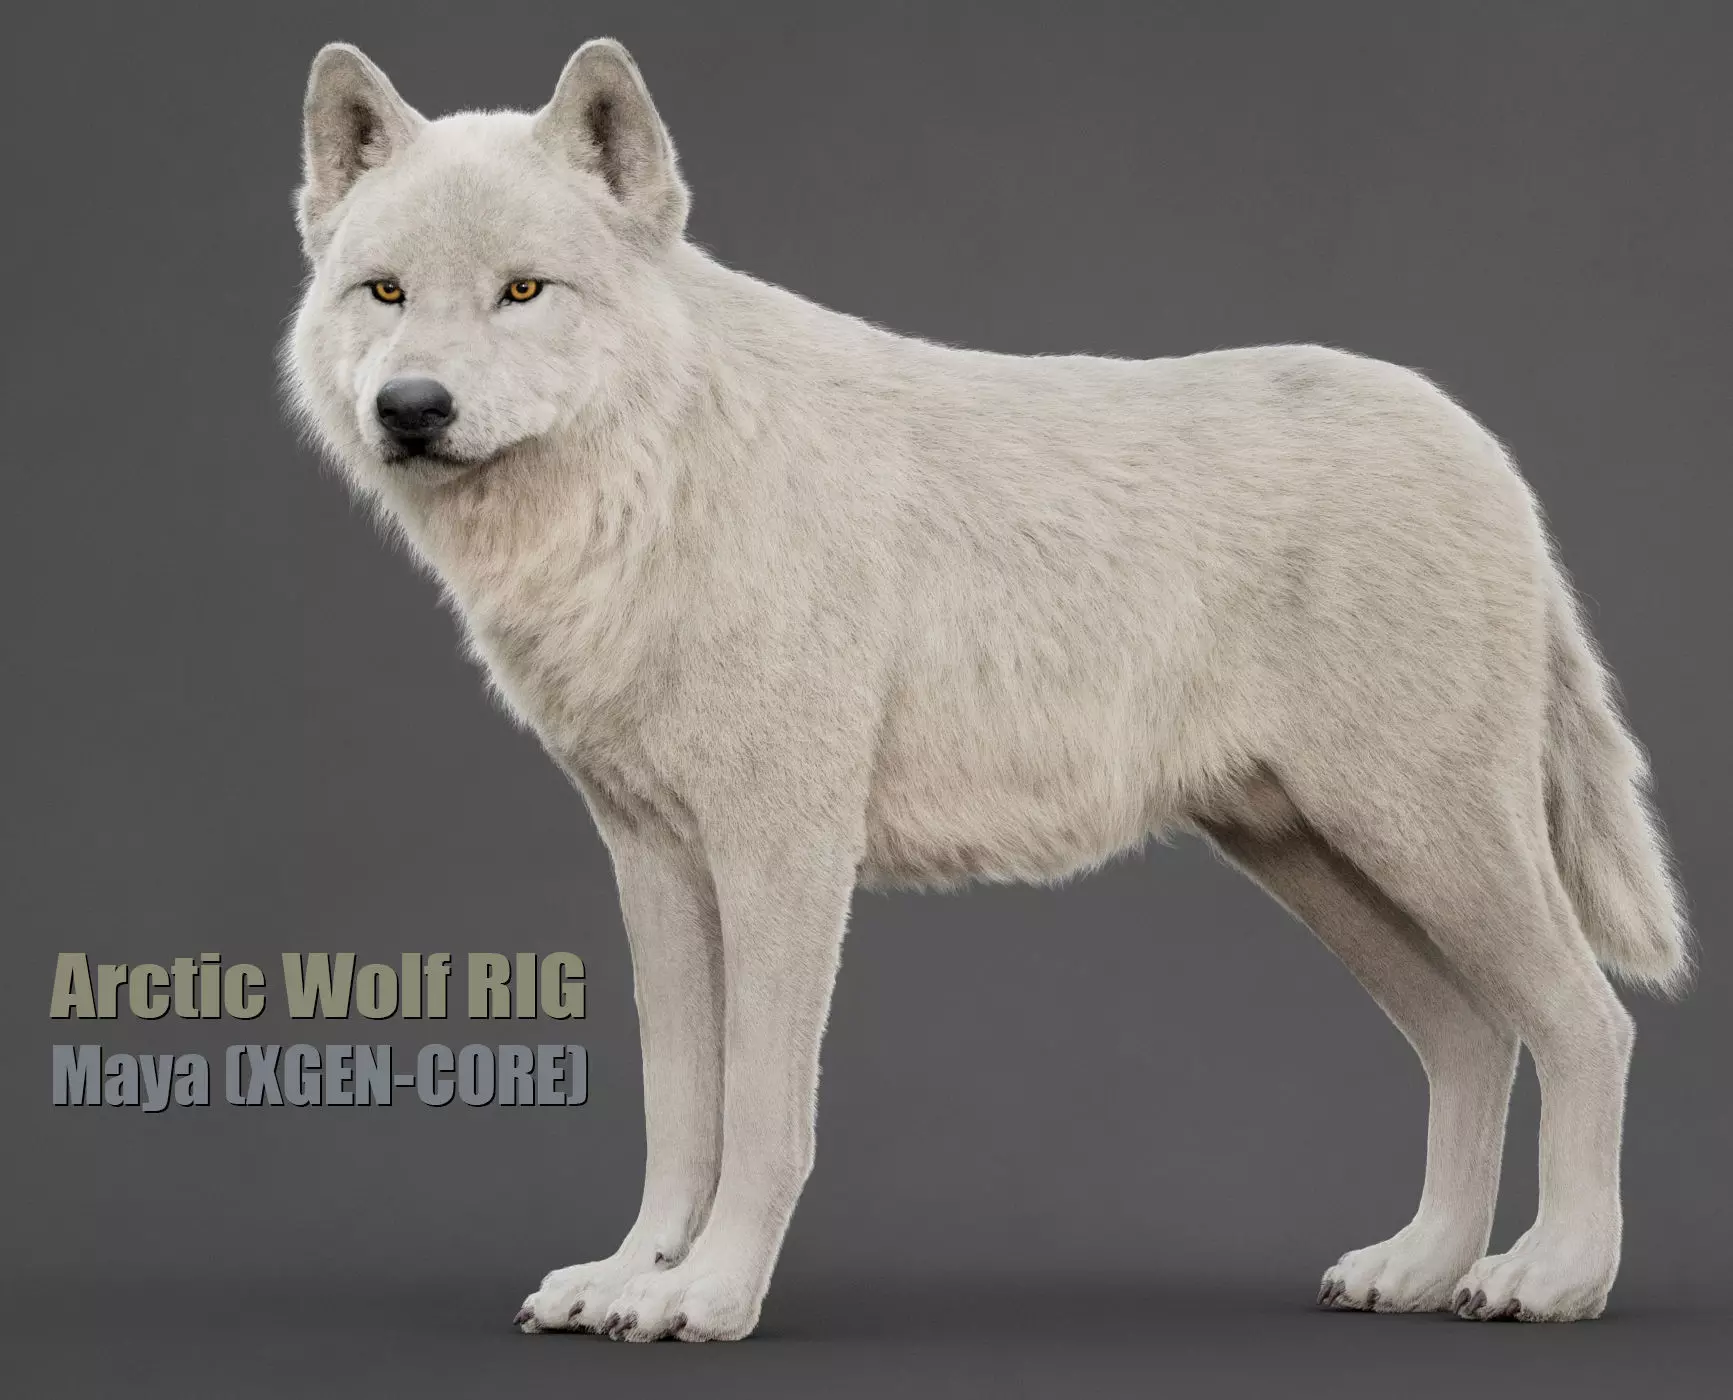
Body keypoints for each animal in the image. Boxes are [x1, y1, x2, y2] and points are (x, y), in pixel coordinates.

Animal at [284, 37, 1689, 1342]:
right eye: (385, 290)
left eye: (523, 290)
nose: (411, 406)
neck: (655, 484)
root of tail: (1483, 449)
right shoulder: (651, 856)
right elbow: (679, 1108)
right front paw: (632, 1278)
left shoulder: (782, 850)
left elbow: (762, 1111)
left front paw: (716, 1294)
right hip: (1320, 860)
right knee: (1474, 1038)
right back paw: (1419, 1268)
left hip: (1424, 839)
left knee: (1587, 1023)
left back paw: (1552, 1276)